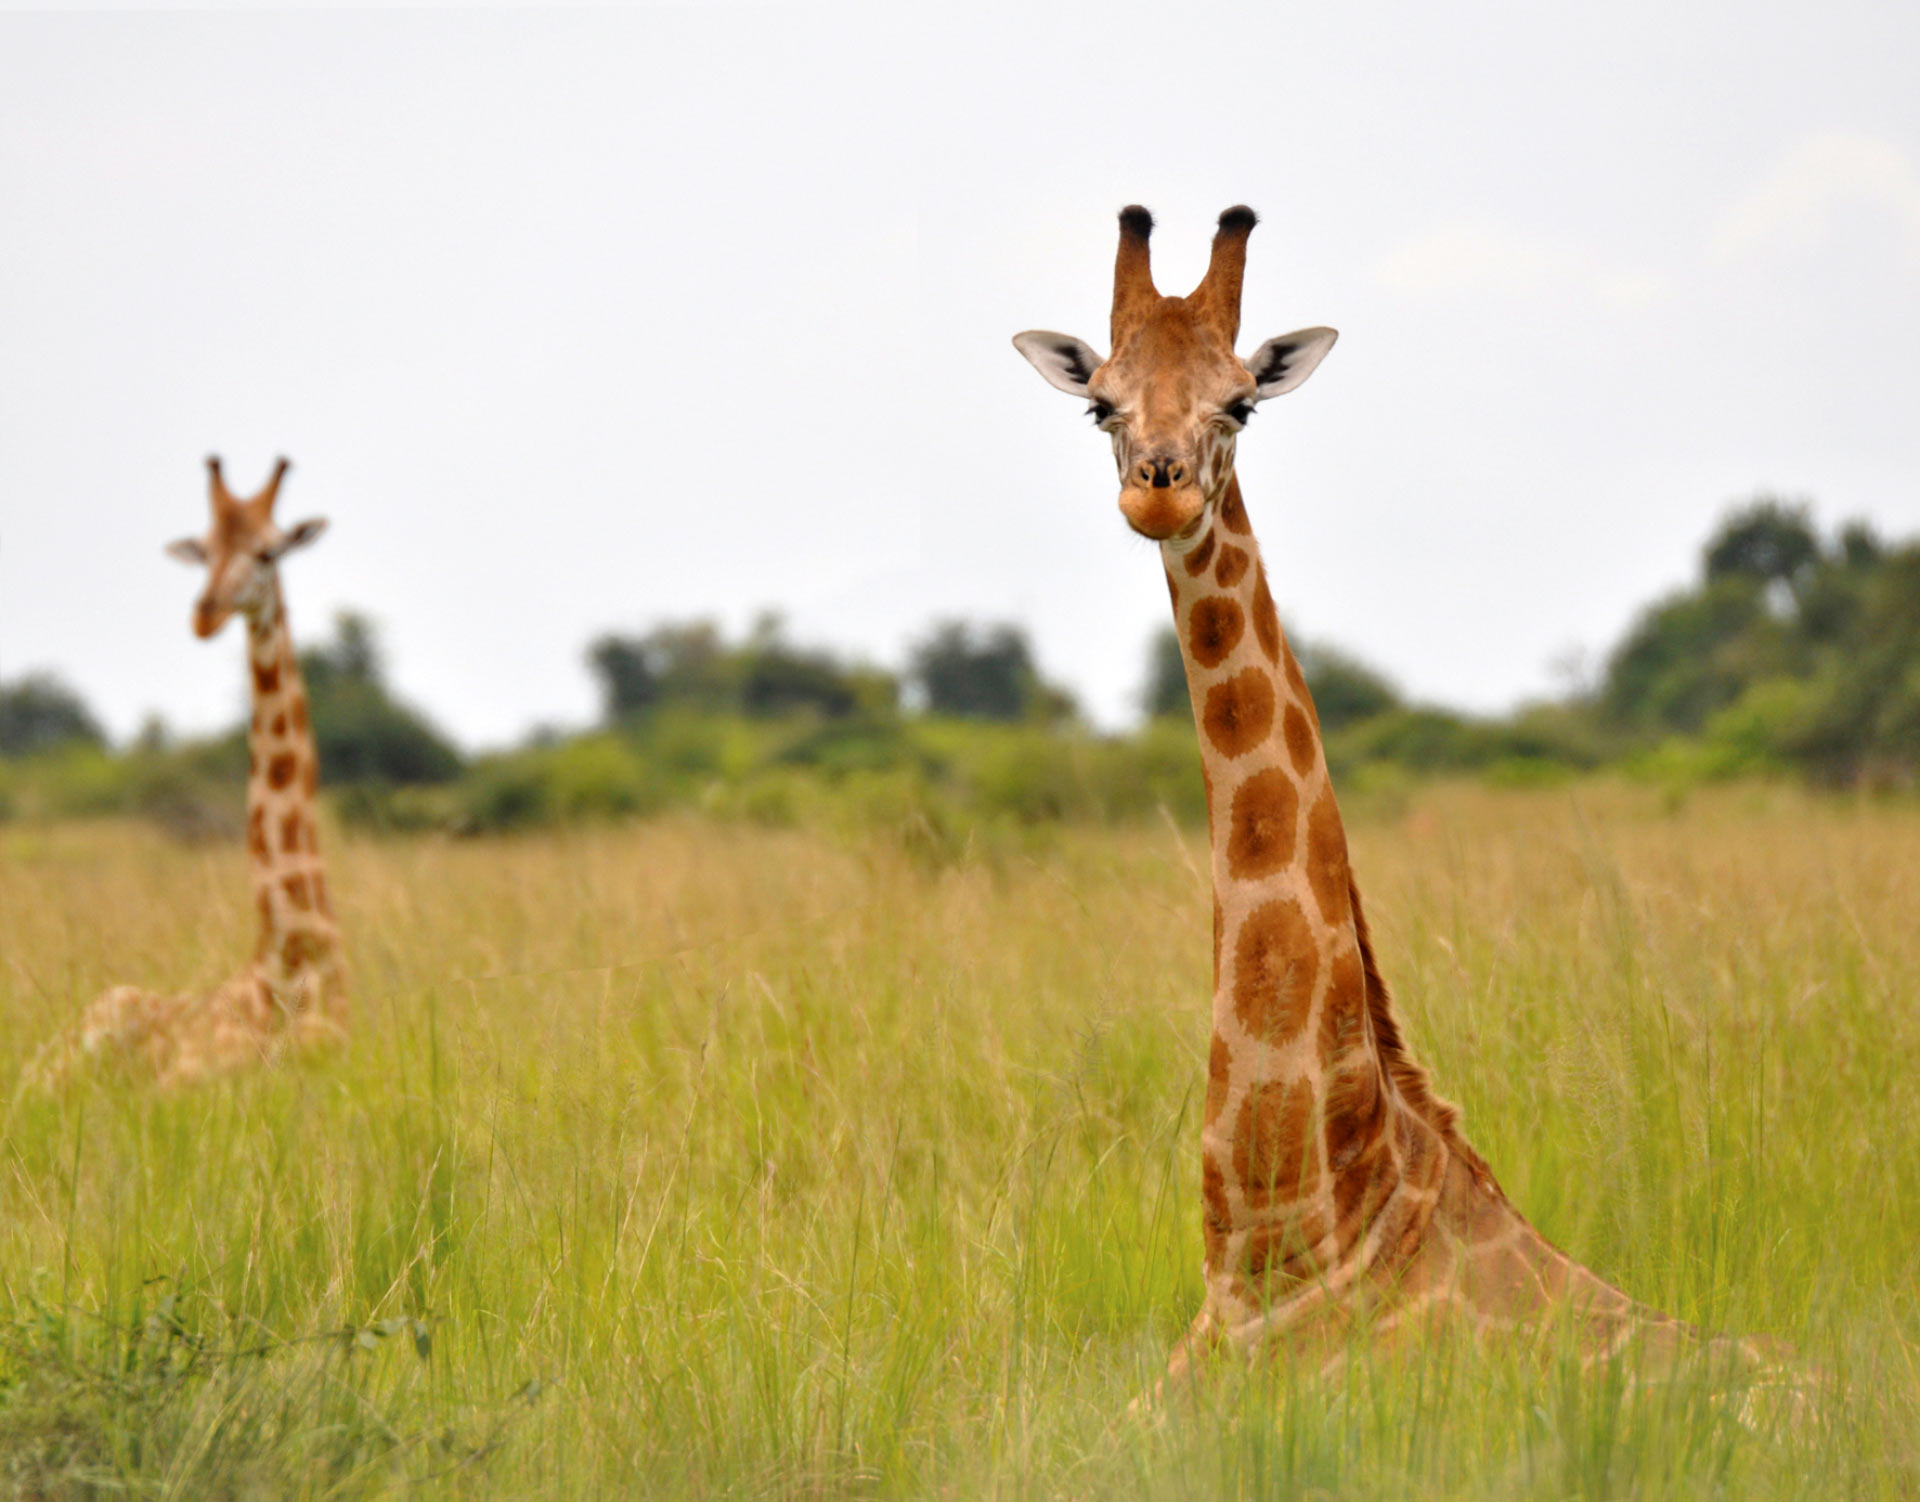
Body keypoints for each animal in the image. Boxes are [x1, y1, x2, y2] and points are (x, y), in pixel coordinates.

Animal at [29, 457, 347, 1090]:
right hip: (76, 1041)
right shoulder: (185, 1085)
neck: (294, 948)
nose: (205, 615)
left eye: (269, 551)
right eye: (204, 551)